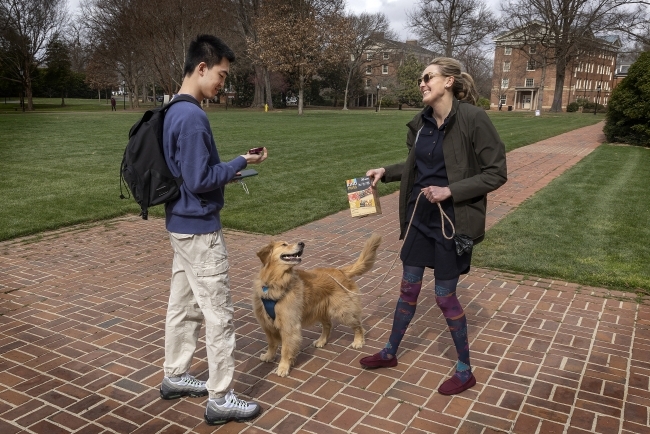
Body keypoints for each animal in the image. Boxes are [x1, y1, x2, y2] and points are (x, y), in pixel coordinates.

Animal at [249, 234, 380, 376]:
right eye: (284, 244)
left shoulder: (289, 325)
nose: (302, 243)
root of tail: (340, 270)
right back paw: (322, 340)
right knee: (328, 325)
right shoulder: (266, 324)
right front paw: (269, 356)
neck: (275, 281)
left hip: (342, 311)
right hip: (320, 310)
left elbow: (285, 349)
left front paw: (283, 367)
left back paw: (358, 341)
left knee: (358, 325)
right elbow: (271, 343)